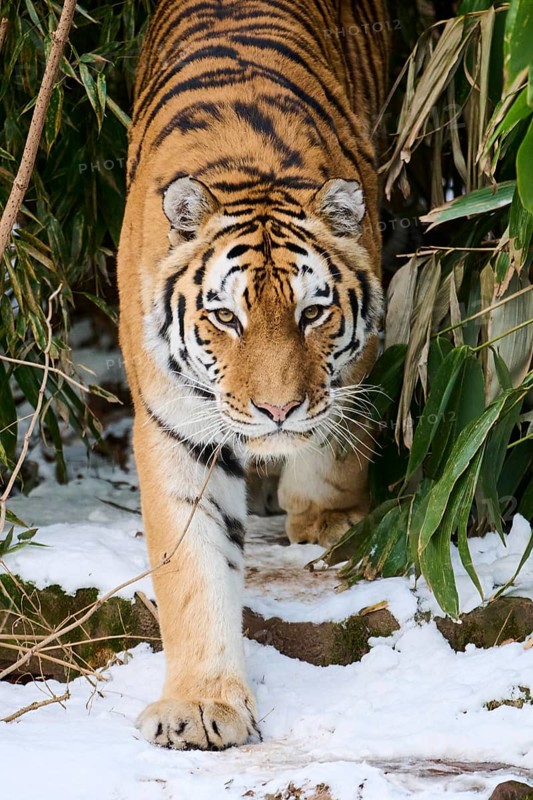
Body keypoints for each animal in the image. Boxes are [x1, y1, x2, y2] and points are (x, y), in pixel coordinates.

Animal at [117, 0, 388, 750]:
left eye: (313, 312)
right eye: (225, 317)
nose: (276, 412)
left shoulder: (353, 360)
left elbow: (334, 437)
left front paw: (326, 517)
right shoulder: (176, 426)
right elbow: (193, 570)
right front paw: (201, 706)